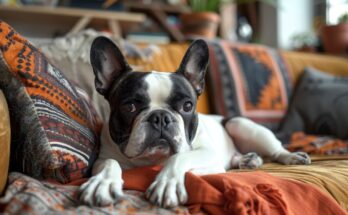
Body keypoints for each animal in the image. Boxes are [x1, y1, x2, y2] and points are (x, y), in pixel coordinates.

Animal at [79, 37, 310, 208]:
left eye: (187, 106)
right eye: (130, 107)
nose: (160, 116)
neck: (151, 160)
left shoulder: (207, 154)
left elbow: (180, 158)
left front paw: (168, 182)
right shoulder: (103, 157)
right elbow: (110, 163)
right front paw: (102, 183)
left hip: (240, 125)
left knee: (277, 150)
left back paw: (290, 157)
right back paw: (246, 160)